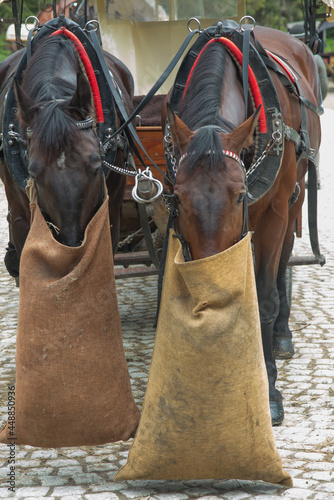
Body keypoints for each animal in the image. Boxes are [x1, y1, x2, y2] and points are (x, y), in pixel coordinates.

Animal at [166, 24, 322, 426]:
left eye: (239, 196)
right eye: (179, 198)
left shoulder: (273, 215)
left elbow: (264, 297)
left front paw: (269, 390)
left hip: (295, 197)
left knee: (282, 260)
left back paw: (281, 334)